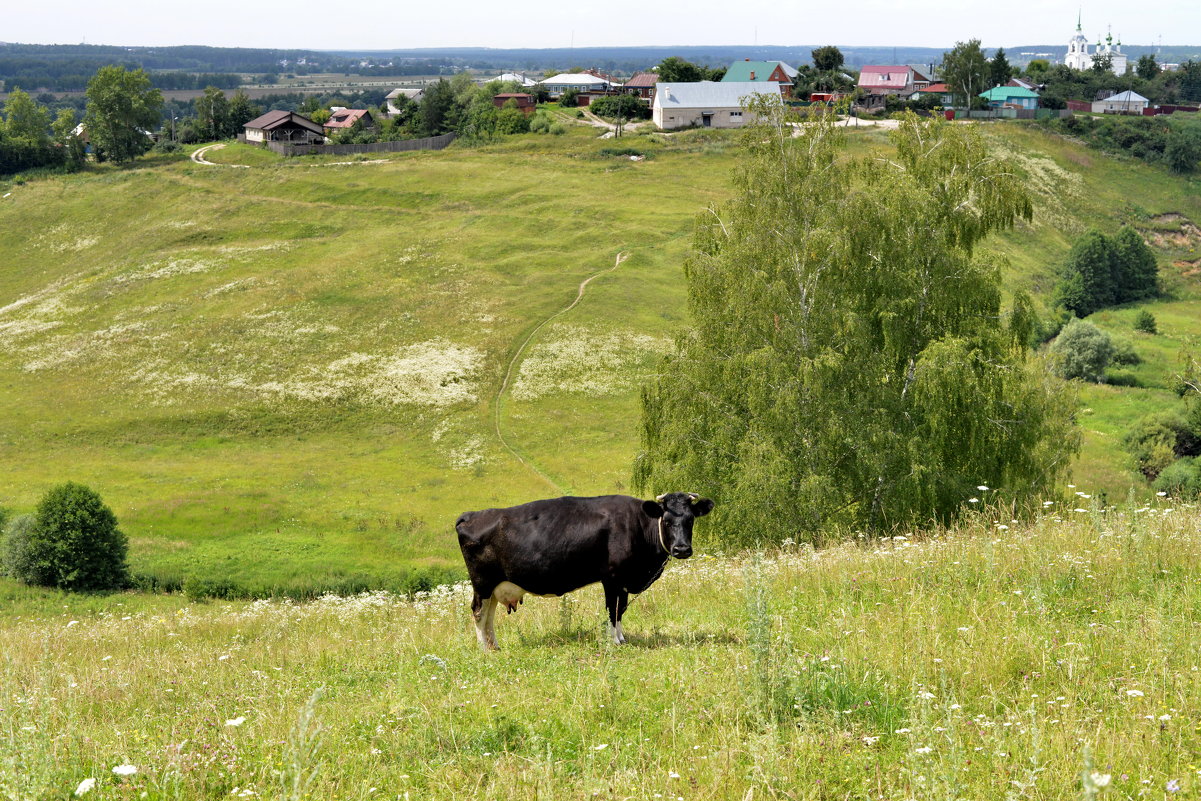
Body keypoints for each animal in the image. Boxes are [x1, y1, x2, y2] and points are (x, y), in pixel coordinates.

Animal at [453, 489, 706, 653]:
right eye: (666, 520)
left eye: (691, 519)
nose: (682, 549)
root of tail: (471, 515)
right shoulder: (611, 578)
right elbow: (612, 609)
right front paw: (614, 642)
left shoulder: (623, 581)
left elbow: (621, 610)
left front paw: (622, 639)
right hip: (482, 583)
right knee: (478, 612)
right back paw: (484, 650)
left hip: (495, 586)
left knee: (489, 615)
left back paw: (494, 646)